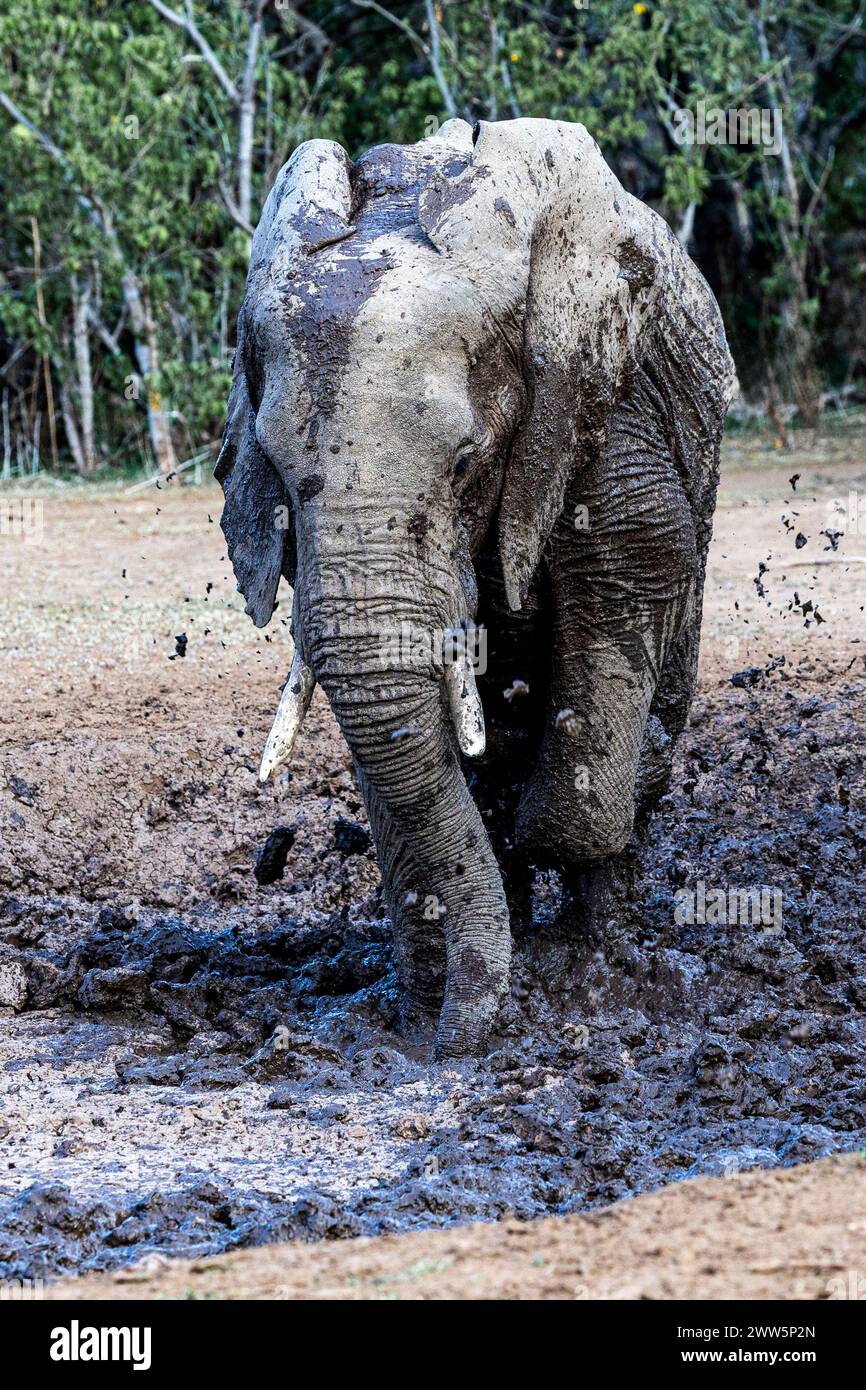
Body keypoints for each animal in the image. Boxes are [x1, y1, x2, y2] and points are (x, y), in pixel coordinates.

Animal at [214, 119, 733, 1056]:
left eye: (467, 461)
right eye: (274, 470)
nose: (454, 1049)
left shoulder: (601, 391)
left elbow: (639, 557)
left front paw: (557, 954)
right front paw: (421, 1013)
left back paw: (610, 956)